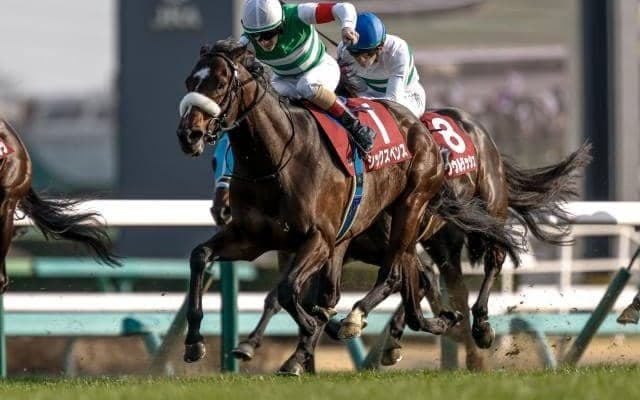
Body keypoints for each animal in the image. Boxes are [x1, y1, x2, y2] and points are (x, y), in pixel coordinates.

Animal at [175, 39, 522, 374]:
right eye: (190, 80)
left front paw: (307, 338)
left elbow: (289, 291)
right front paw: (196, 341)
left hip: (425, 207)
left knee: (475, 261)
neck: (279, 159)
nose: (188, 134)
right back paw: (434, 324)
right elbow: (201, 257)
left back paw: (476, 327)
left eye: (221, 84)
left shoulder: (322, 239)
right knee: (425, 286)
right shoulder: (256, 238)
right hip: (429, 238)